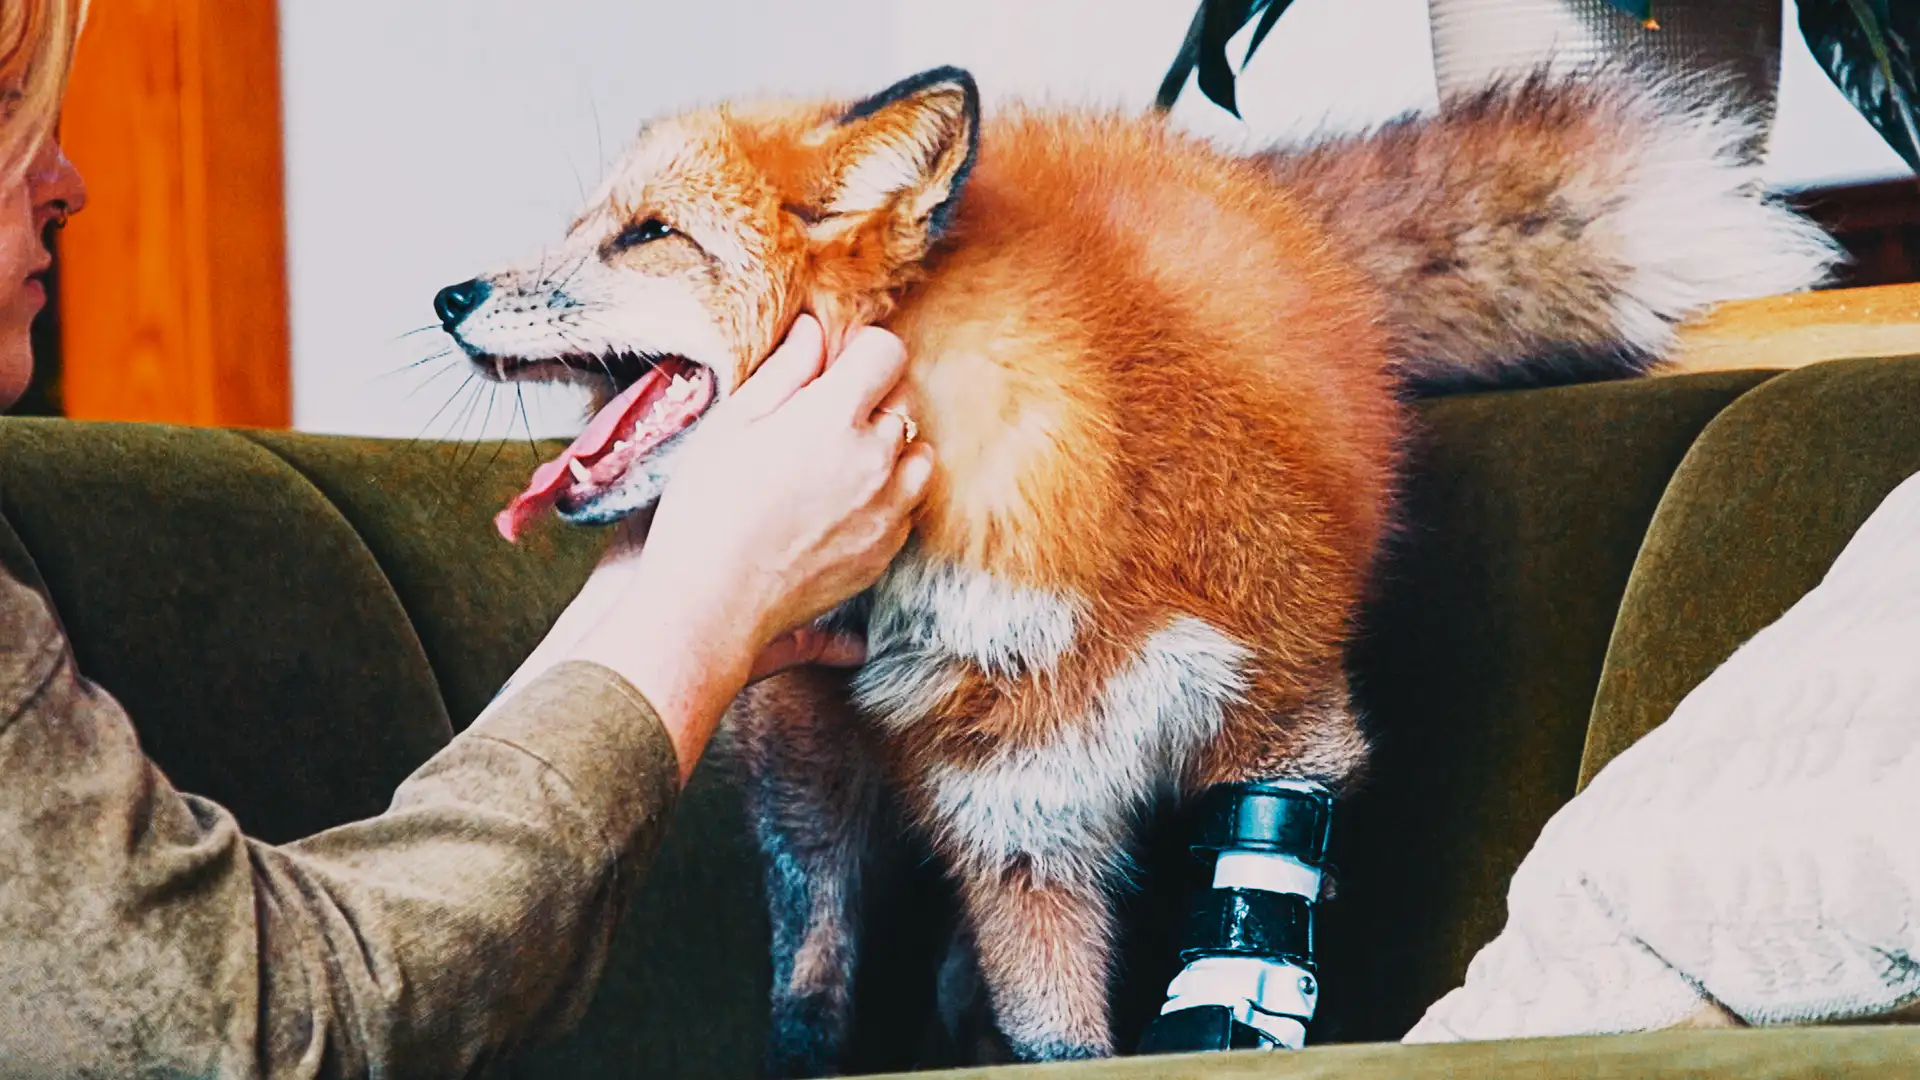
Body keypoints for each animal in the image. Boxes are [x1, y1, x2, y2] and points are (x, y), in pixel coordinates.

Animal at [434, 61, 1840, 1072]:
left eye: (646, 235)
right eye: (583, 228)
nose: (447, 296)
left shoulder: (1277, 711)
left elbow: (1248, 879)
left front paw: (1231, 1013)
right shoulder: (1019, 809)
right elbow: (1055, 1035)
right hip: (811, 780)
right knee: (819, 959)